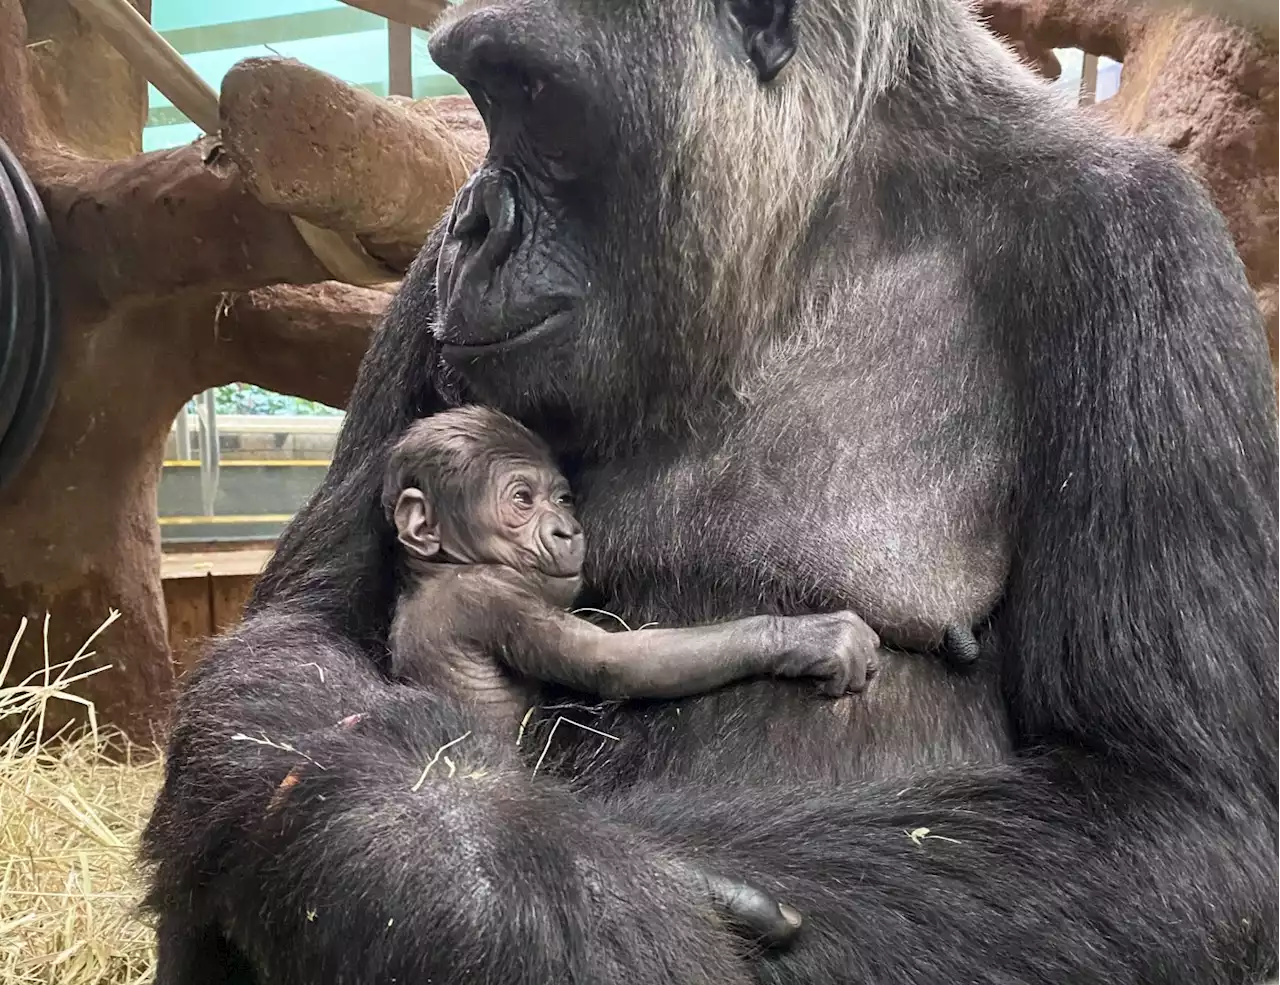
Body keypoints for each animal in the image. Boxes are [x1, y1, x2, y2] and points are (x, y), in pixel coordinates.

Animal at [378, 401, 880, 721]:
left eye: (562, 500)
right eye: (521, 499)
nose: (567, 530)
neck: (444, 568)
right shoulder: (490, 595)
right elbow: (616, 661)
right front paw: (804, 638)